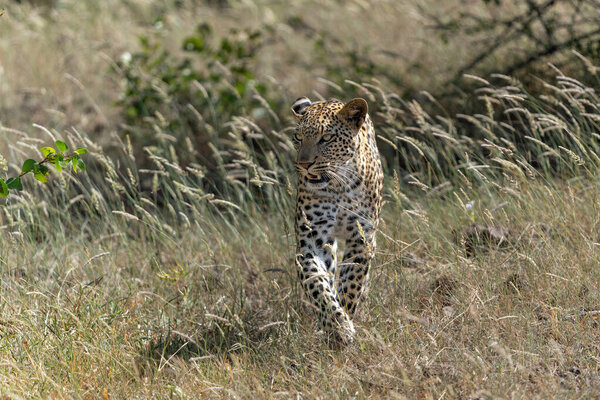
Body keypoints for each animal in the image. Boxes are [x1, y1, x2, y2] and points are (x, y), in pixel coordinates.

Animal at [290, 96, 384, 344]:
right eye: (298, 137)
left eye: (326, 138)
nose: (304, 164)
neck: (337, 186)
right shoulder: (311, 240)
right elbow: (318, 284)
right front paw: (338, 327)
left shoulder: (362, 237)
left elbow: (352, 282)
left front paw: (345, 321)